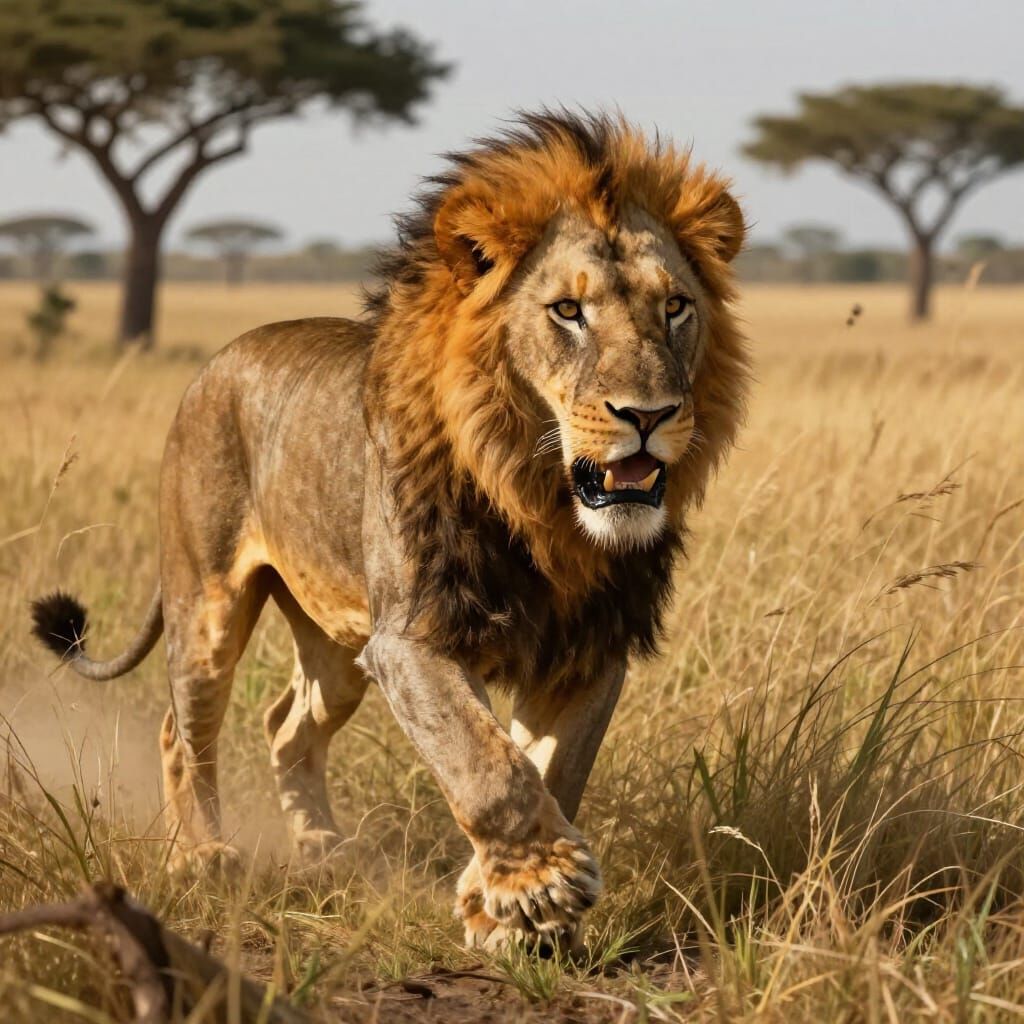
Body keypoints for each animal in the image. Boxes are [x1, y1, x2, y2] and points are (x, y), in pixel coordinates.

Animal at [31, 110, 749, 949]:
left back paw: (322, 849)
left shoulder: (588, 647)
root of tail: (218, 360)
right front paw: (538, 885)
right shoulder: (412, 637)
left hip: (339, 642)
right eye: (568, 312)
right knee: (183, 733)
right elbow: (487, 766)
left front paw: (502, 908)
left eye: (675, 307)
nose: (649, 415)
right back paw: (201, 857)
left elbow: (549, 769)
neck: (543, 505)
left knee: (288, 727)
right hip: (207, 602)